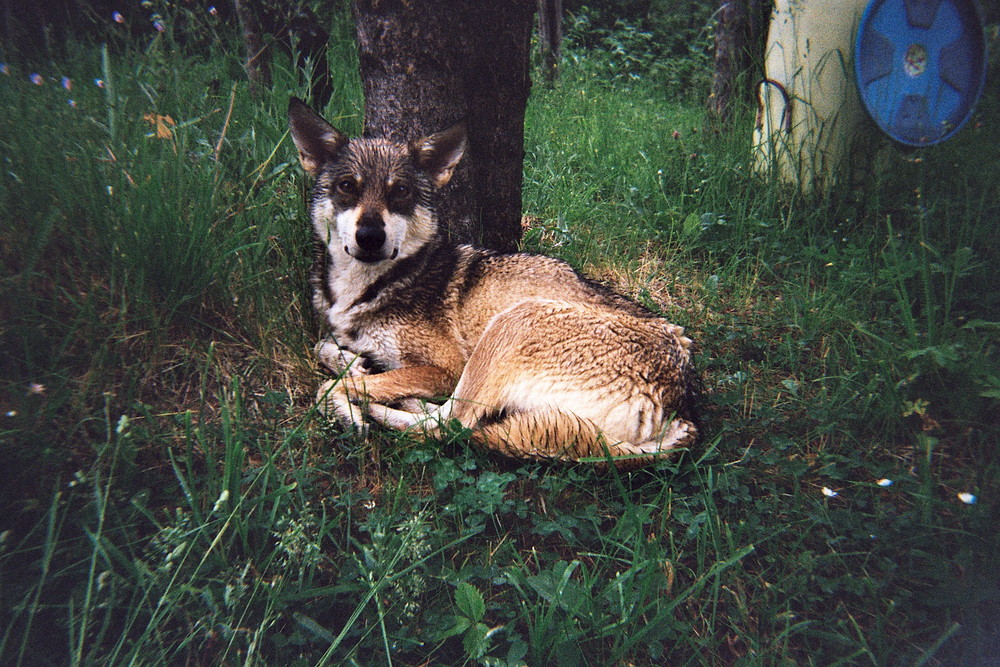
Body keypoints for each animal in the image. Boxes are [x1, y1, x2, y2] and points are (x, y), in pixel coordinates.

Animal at [286, 96, 700, 470]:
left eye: (400, 191)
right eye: (346, 186)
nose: (370, 237)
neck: (370, 287)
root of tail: (681, 416)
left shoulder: (447, 368)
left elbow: (328, 387)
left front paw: (350, 404)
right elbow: (323, 346)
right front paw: (351, 362)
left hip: (513, 323)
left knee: (450, 426)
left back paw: (375, 406)